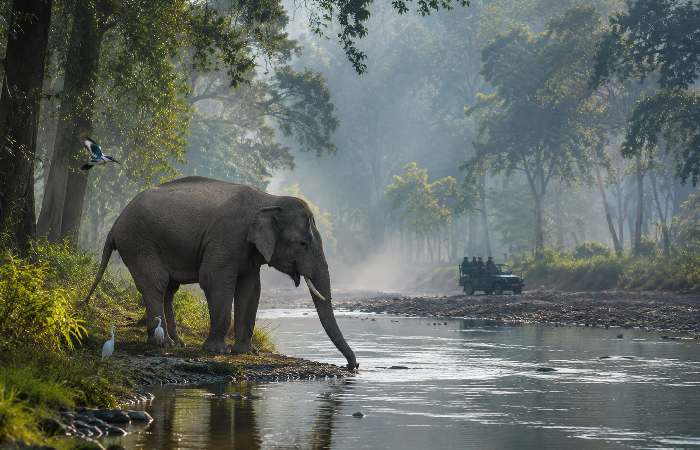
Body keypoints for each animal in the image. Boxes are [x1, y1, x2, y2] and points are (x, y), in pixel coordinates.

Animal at [83, 176, 358, 370]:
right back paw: (164, 344)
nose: (353, 366)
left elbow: (250, 289)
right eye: (303, 243)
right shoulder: (226, 238)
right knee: (157, 284)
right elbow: (216, 281)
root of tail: (115, 224)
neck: (267, 200)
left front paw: (247, 352)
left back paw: (178, 343)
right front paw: (218, 351)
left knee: (169, 289)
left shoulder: (248, 249)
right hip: (140, 243)